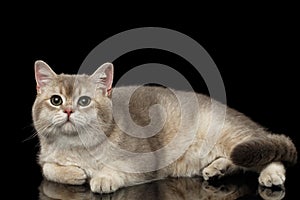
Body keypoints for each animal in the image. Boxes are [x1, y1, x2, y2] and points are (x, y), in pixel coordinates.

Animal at [32, 59, 296, 194]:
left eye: (84, 101)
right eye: (56, 100)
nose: (68, 111)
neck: (78, 146)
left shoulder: (145, 161)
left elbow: (118, 170)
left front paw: (103, 178)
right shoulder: (45, 157)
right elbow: (48, 169)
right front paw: (75, 174)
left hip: (233, 137)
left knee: (269, 153)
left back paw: (271, 175)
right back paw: (217, 169)